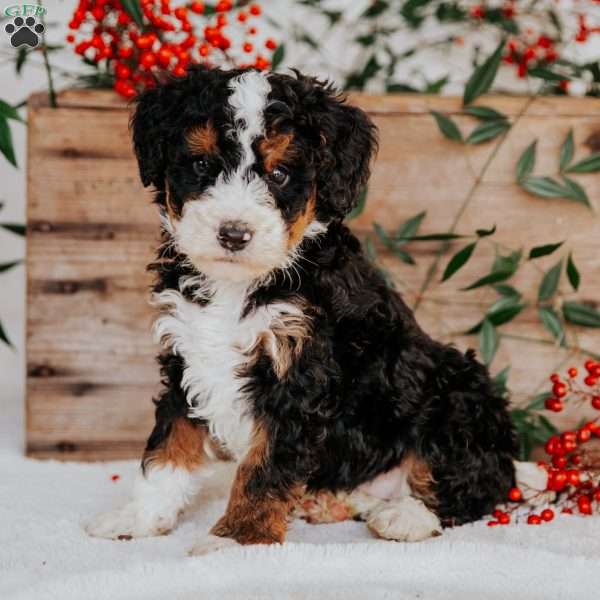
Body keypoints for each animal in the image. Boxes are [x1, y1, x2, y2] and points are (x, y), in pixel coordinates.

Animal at [84, 67, 528, 552]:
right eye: (202, 165)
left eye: (278, 174)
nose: (233, 234)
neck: (240, 285)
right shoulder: (185, 353)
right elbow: (169, 445)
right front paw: (140, 517)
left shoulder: (299, 376)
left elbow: (263, 467)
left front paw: (236, 540)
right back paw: (334, 502)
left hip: (459, 391)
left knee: (478, 485)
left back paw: (406, 516)